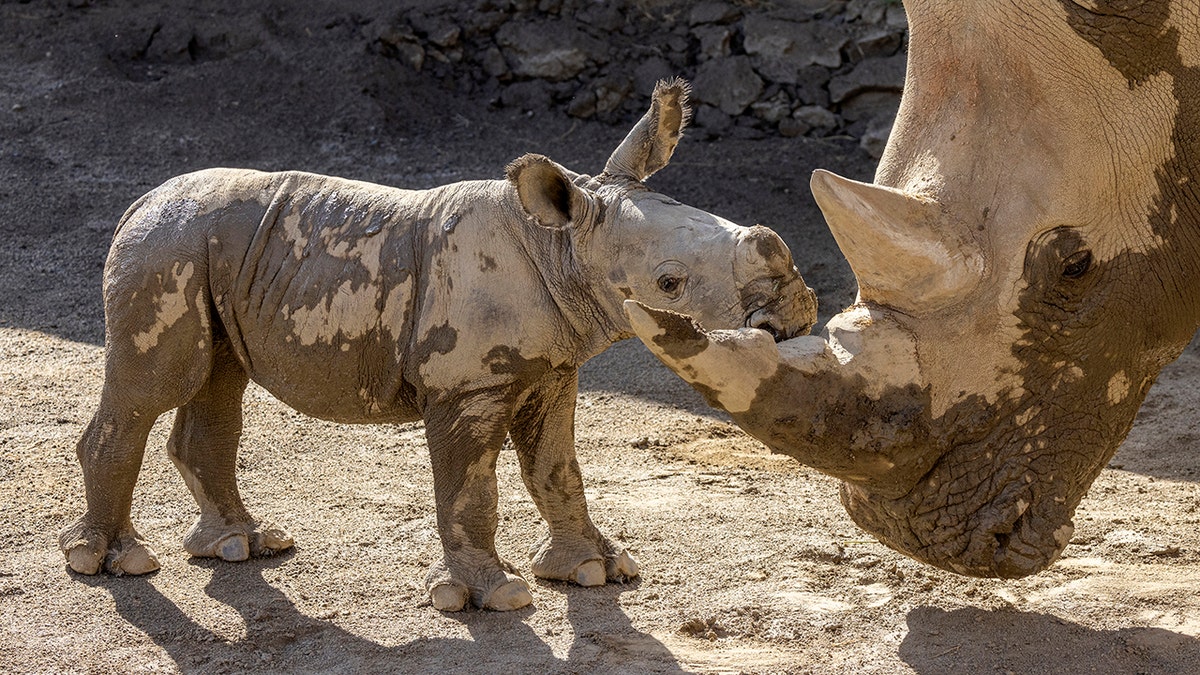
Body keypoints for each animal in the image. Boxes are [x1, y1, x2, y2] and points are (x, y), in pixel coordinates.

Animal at [60, 79, 820, 610]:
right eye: (669, 282)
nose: (794, 307)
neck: (563, 244)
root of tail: (138, 202)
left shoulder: (553, 369)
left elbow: (558, 467)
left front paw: (595, 570)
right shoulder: (466, 386)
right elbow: (470, 487)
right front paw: (495, 595)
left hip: (210, 250)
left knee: (218, 380)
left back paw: (241, 546)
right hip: (166, 248)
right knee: (153, 387)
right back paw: (111, 563)